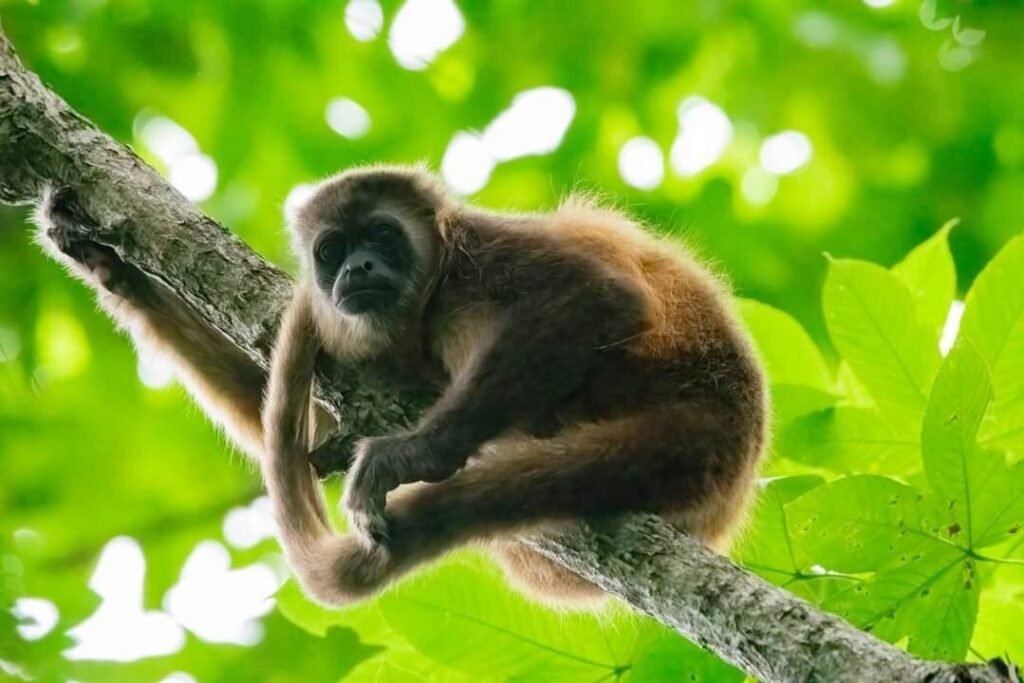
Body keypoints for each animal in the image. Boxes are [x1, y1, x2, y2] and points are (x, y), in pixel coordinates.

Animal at [260, 165, 769, 607]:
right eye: (331, 251)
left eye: (383, 235)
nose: (357, 268)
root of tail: (732, 432)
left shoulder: (479, 247)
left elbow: (601, 295)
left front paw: (418, 452)